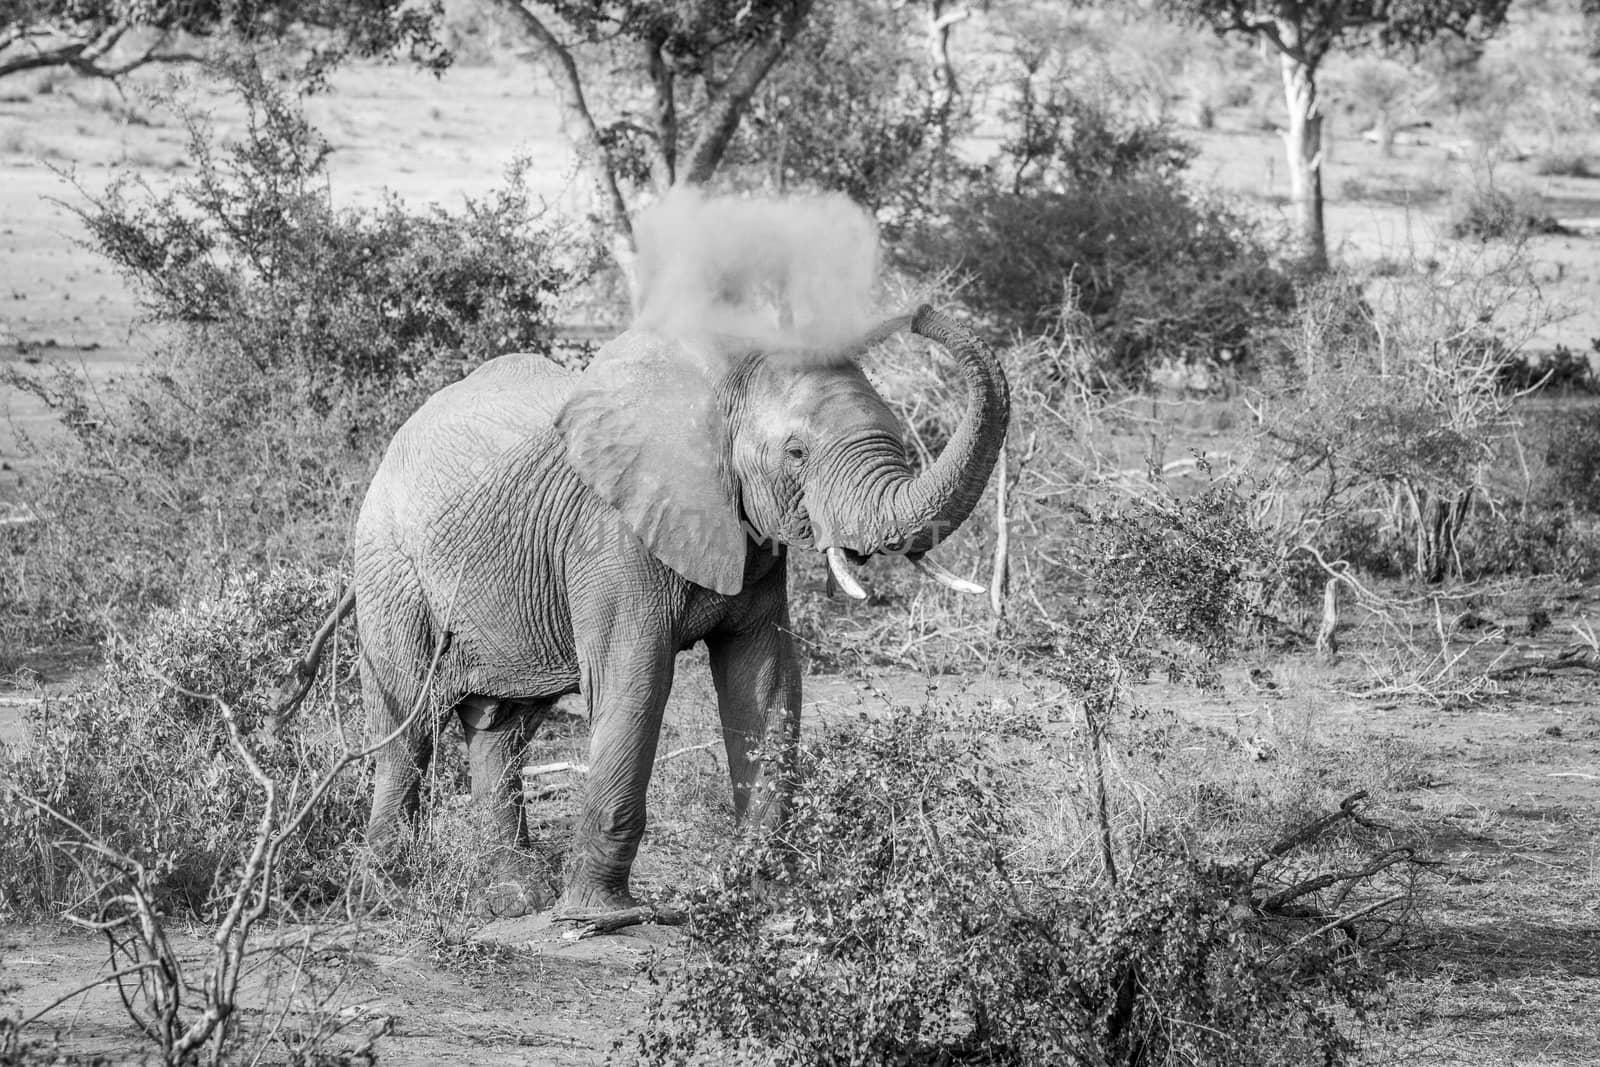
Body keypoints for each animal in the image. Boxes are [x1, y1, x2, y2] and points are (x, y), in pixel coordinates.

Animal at [350, 303, 1004, 921]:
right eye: (796, 452)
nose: (918, 313)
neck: (723, 377)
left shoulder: (751, 540)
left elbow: (764, 681)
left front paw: (769, 903)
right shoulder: (612, 535)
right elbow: (636, 680)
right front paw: (601, 918)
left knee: (502, 729)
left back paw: (513, 900)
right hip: (389, 569)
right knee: (408, 726)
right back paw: (388, 891)